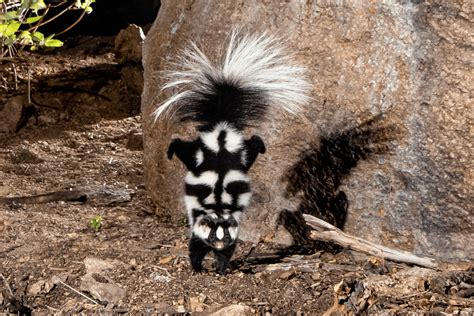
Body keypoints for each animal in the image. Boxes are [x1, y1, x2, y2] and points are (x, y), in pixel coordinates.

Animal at [154, 30, 312, 274]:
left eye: (225, 237)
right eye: (212, 236)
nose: (218, 245)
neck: (218, 209)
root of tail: (221, 130)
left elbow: (226, 253)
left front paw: (220, 267)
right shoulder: (198, 227)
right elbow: (195, 247)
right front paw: (198, 267)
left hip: (239, 154)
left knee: (253, 144)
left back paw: (262, 145)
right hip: (201, 154)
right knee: (183, 147)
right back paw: (171, 151)